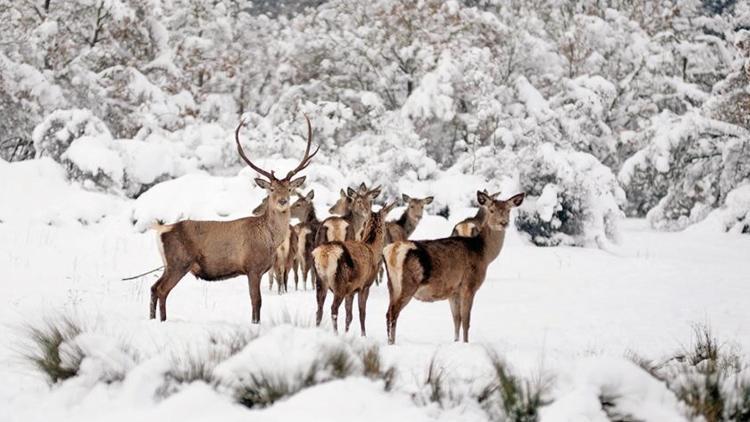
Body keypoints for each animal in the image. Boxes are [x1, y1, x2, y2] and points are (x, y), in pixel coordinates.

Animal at [150, 115, 318, 324]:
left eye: (289, 188)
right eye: (271, 189)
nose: (282, 201)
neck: (270, 239)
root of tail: (161, 230)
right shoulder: (252, 267)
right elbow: (256, 301)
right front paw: (255, 323)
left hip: (168, 264)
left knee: (153, 288)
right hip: (178, 262)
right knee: (162, 290)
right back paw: (162, 321)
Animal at [312, 201, 400, 336]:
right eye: (386, 223)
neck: (372, 249)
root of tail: (325, 254)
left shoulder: (351, 290)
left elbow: (349, 315)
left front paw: (347, 333)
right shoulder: (364, 285)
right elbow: (362, 314)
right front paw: (363, 335)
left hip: (320, 279)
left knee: (319, 309)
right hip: (340, 282)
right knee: (333, 309)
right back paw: (336, 334)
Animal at [384, 190, 524, 342]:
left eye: (508, 210)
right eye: (491, 210)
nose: (503, 223)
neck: (484, 254)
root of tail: (392, 251)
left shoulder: (453, 291)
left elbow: (456, 319)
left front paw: (456, 341)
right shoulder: (469, 285)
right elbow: (466, 320)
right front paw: (466, 342)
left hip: (392, 285)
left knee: (388, 313)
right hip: (408, 284)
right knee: (393, 313)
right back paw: (392, 343)